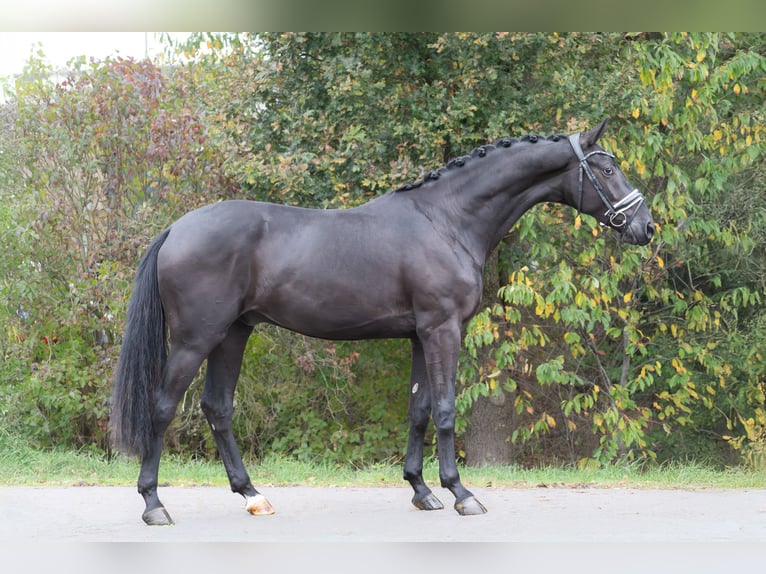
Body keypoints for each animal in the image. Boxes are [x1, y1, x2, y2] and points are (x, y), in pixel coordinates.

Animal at [110, 119, 654, 525]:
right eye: (607, 167)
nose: (646, 227)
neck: (448, 219)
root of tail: (176, 229)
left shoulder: (419, 335)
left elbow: (419, 409)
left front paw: (422, 490)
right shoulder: (443, 329)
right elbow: (446, 409)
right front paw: (461, 494)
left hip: (234, 333)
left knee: (218, 408)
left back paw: (253, 496)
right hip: (195, 338)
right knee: (162, 407)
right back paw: (154, 504)